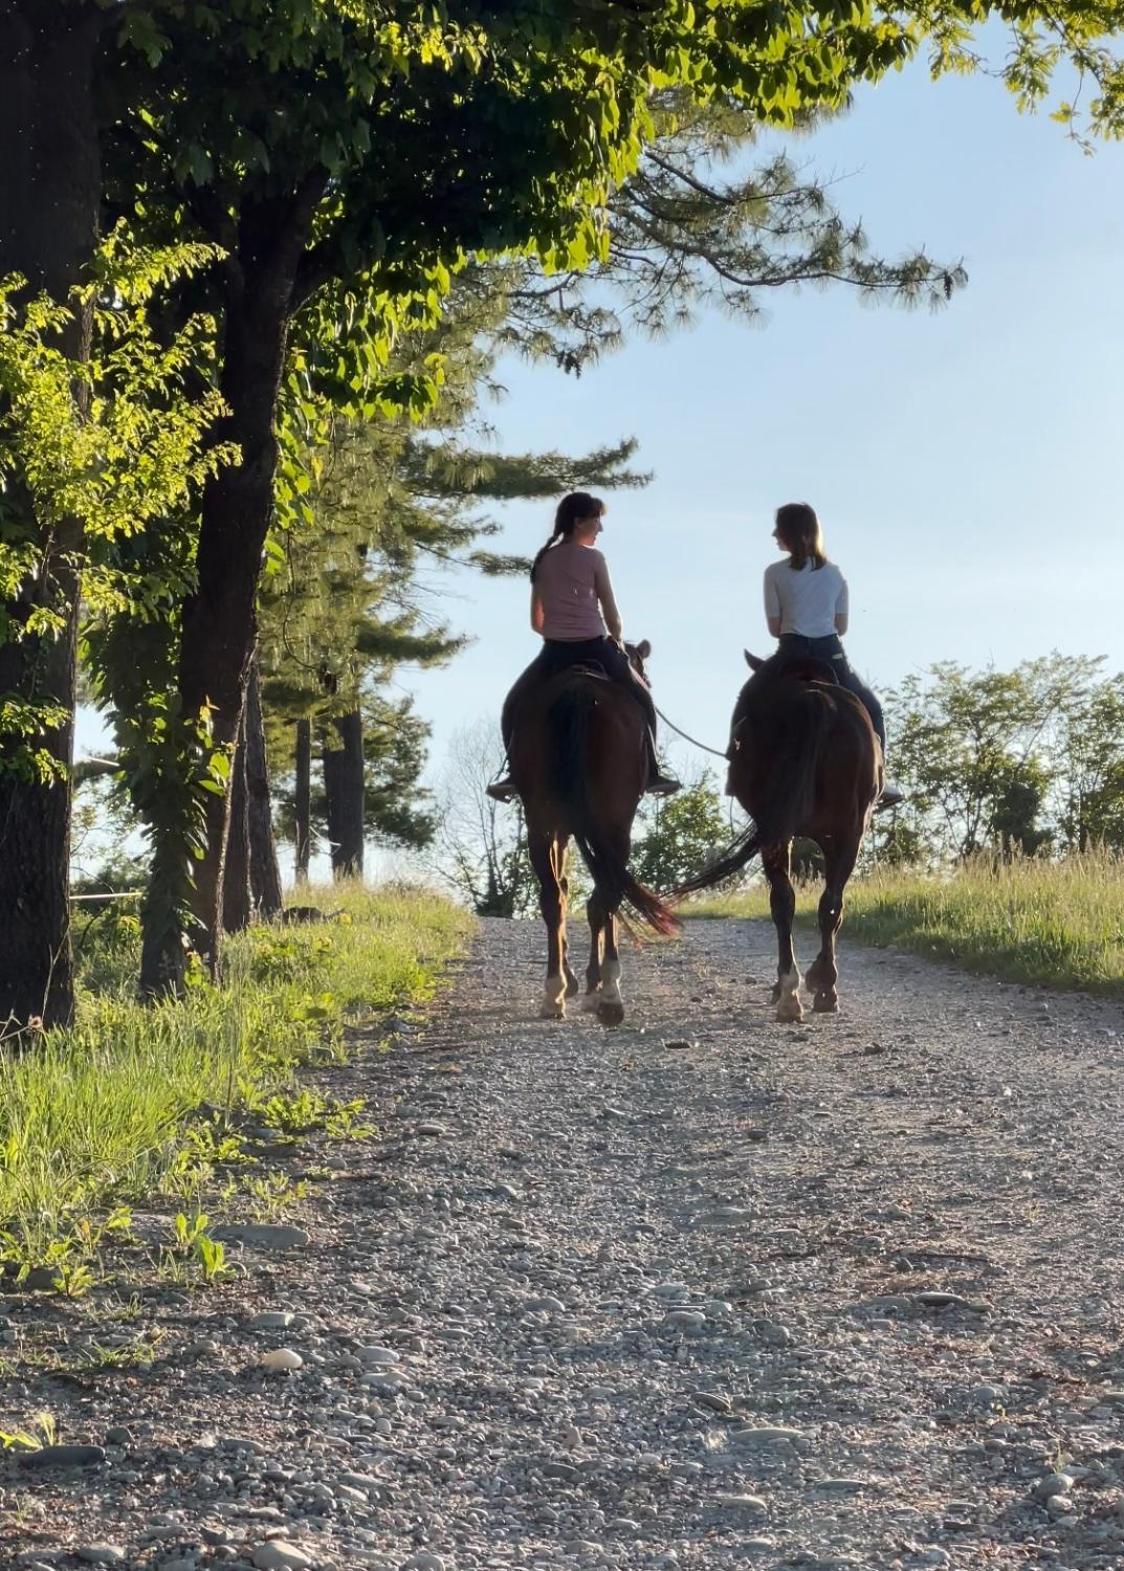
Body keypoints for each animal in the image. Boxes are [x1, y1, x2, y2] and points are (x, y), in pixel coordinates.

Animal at [509, 640, 675, 1030]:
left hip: (542, 821)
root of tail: (579, 692)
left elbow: (568, 892)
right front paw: (593, 982)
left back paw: (554, 993)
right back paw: (609, 994)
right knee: (605, 894)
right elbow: (594, 899)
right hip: (614, 821)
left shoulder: (562, 829)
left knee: (554, 898)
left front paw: (578, 980)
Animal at [672, 650, 886, 1018]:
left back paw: (794, 990)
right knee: (820, 904)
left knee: (792, 902)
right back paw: (814, 988)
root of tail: (815, 700)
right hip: (844, 832)